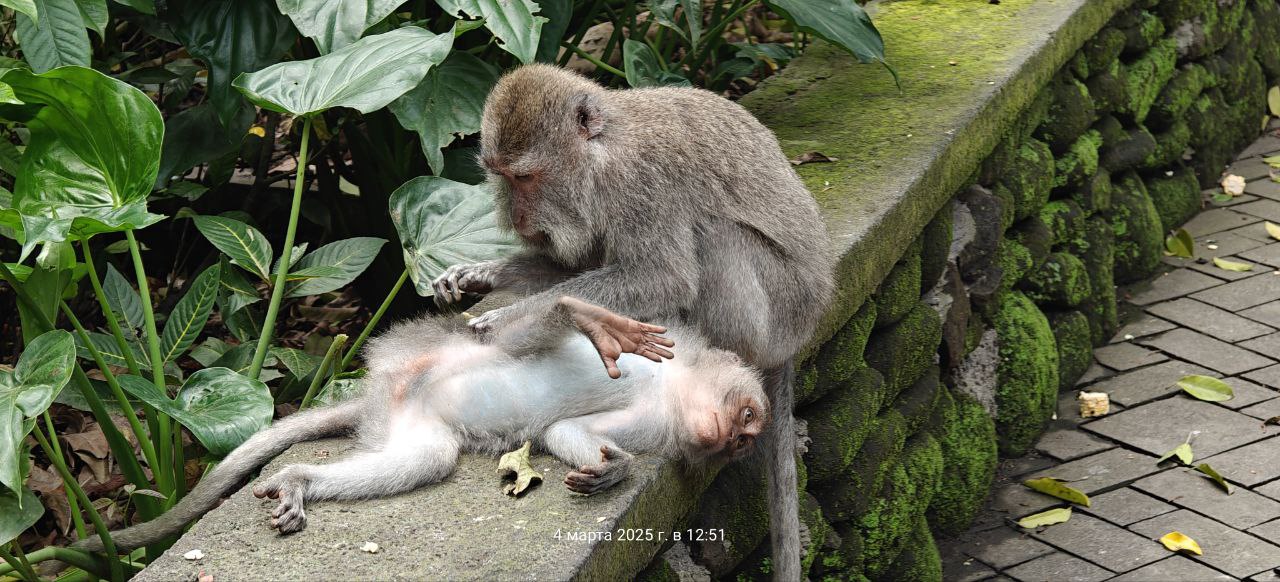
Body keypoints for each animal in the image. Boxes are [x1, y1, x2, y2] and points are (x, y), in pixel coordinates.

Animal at [73, 297, 768, 553]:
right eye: (749, 420)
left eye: (743, 441)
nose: (733, 442)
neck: (673, 390)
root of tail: (383, 392)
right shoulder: (660, 356)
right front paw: (589, 318)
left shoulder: (654, 421)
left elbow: (559, 437)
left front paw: (611, 471)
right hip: (431, 358)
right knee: (520, 337)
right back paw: (575, 313)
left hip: (410, 420)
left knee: (423, 459)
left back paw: (301, 480)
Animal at [432, 63, 834, 579]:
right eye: (501, 177)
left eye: (525, 176)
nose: (517, 221)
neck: (602, 154)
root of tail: (801, 332)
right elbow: (574, 266)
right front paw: (481, 274)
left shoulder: (640, 184)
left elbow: (663, 277)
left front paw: (507, 317)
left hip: (777, 312)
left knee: (714, 236)